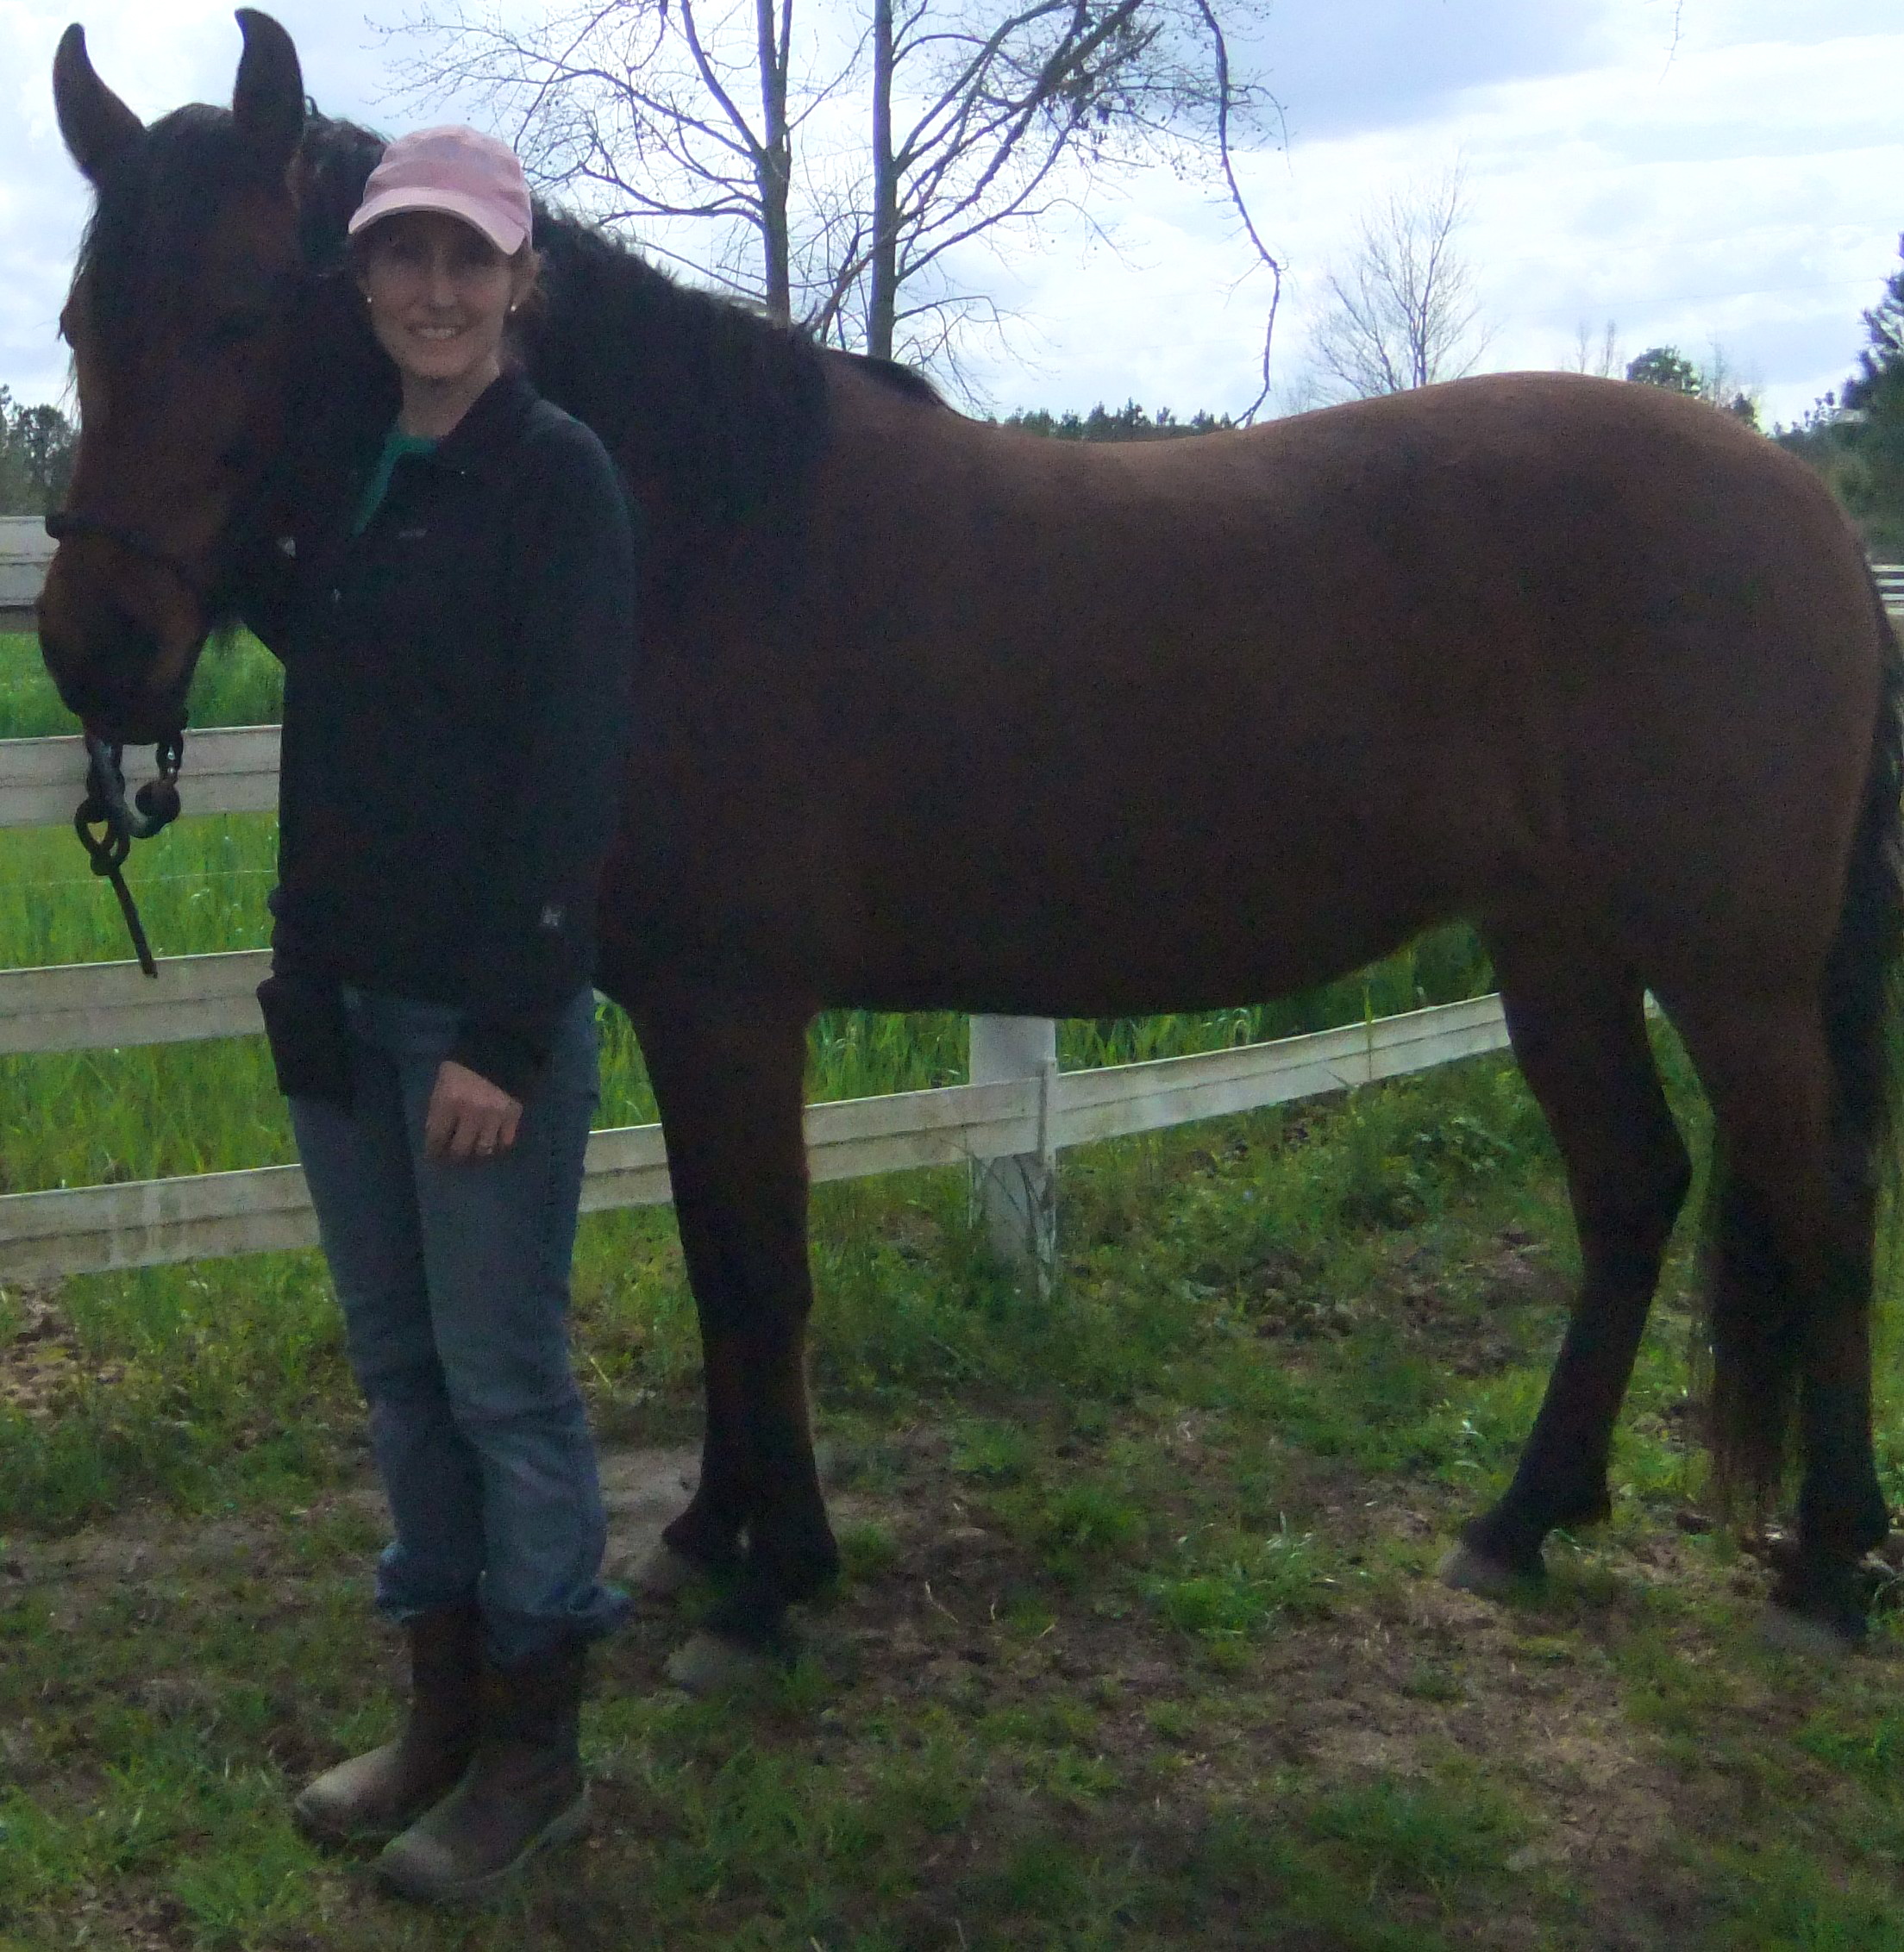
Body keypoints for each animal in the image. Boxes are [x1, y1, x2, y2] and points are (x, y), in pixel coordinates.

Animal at [38, 9, 1902, 1680]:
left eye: (240, 311)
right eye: (75, 320)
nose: (93, 647)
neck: (685, 536)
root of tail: (1803, 507)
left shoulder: (731, 1009)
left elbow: (759, 1276)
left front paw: (771, 1582)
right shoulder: (677, 1012)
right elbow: (716, 1268)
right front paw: (712, 1528)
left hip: (1730, 971)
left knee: (1814, 1200)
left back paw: (1826, 1564)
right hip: (1559, 946)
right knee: (1633, 1189)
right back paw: (1523, 1517)